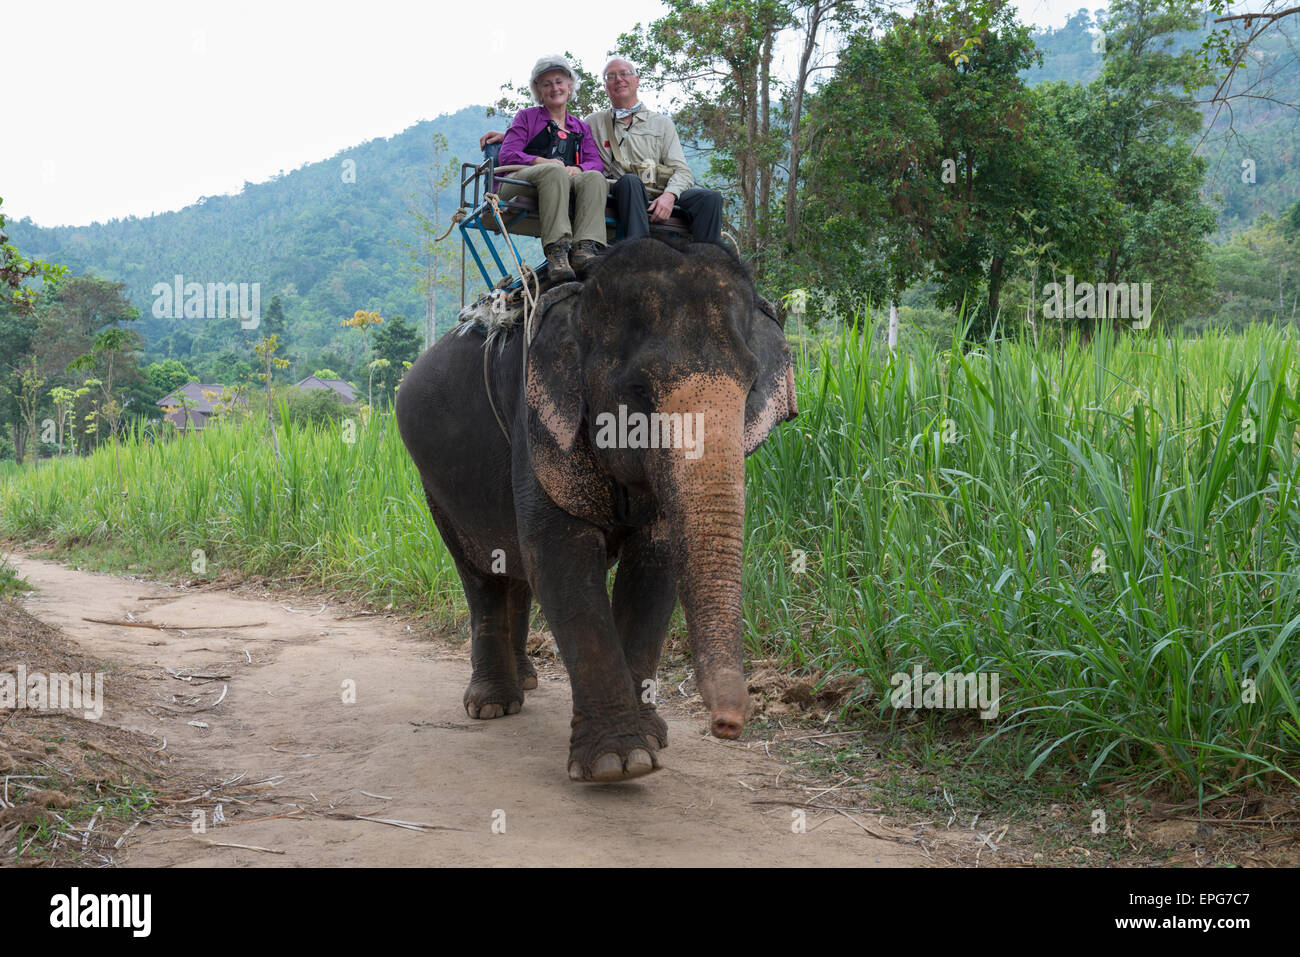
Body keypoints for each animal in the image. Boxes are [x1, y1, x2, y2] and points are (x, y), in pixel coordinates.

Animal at [395, 235, 795, 780]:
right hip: (435, 486)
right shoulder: (539, 419)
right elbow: (559, 556)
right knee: (482, 572)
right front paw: (618, 762)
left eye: (751, 385)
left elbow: (654, 564)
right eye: (639, 390)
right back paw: (493, 704)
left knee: (514, 567)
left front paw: (651, 739)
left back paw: (526, 683)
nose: (728, 726)